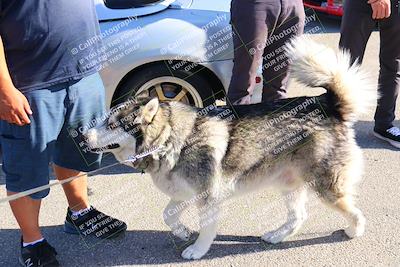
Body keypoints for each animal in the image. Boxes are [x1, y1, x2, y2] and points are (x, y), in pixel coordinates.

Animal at [84, 37, 376, 260]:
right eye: (105, 120)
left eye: (112, 124)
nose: (84, 135)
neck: (171, 140)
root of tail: (327, 104)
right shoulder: (183, 192)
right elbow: (167, 215)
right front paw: (182, 231)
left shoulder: (207, 197)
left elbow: (206, 230)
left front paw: (197, 250)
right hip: (288, 183)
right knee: (299, 216)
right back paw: (277, 235)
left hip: (325, 186)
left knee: (353, 210)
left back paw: (355, 231)